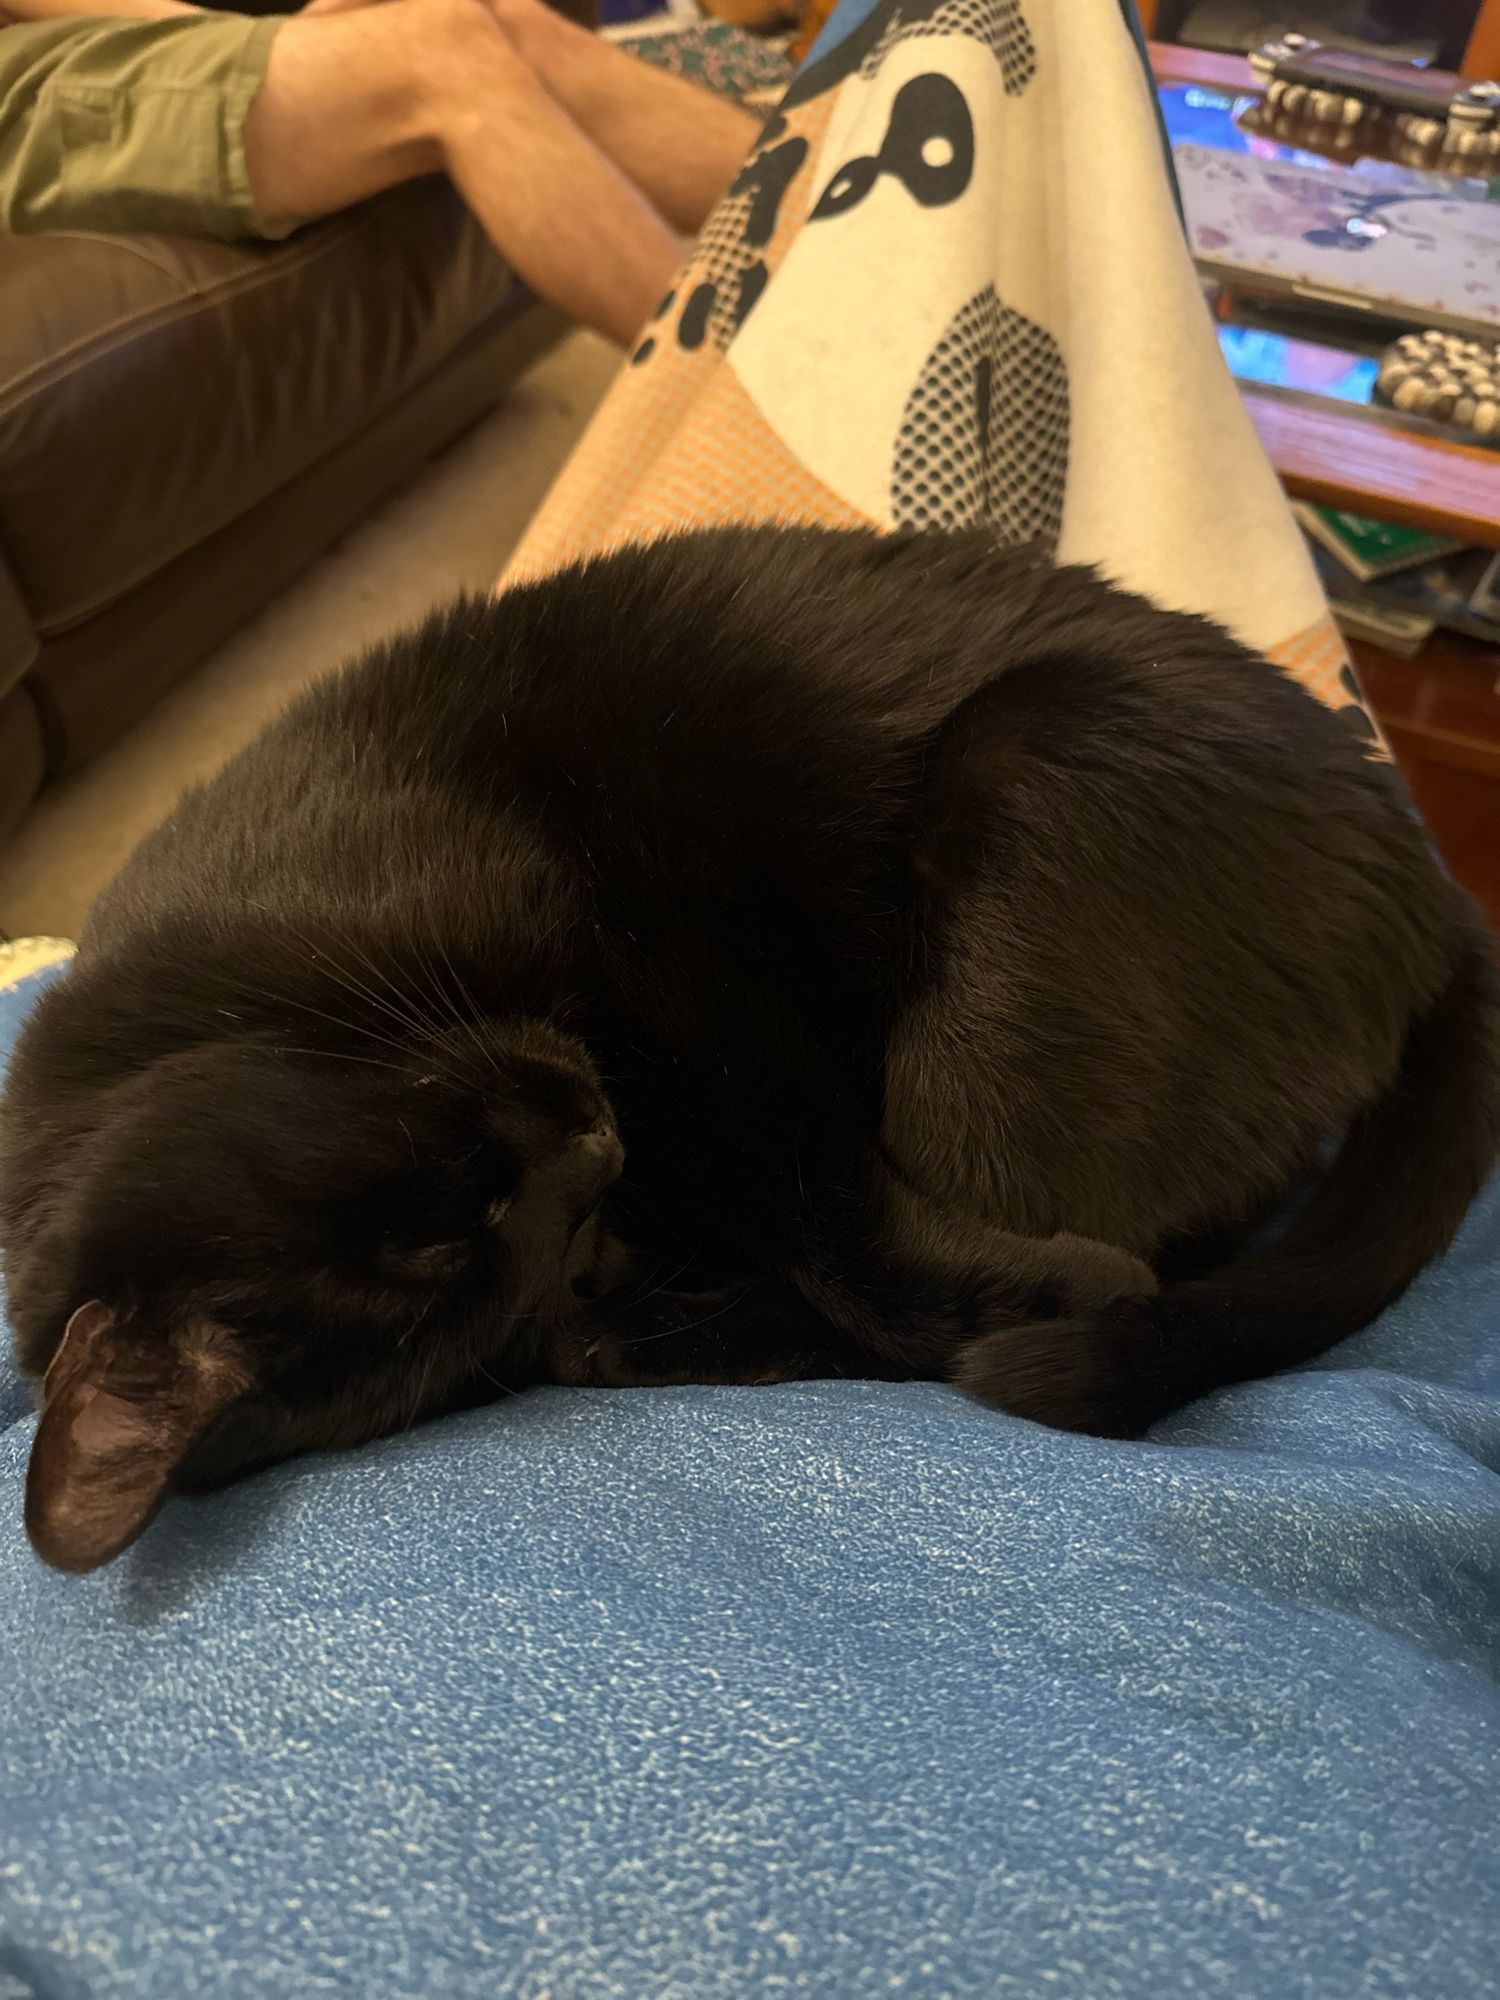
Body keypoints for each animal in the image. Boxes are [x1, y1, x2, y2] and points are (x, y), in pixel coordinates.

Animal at [2, 532, 1500, 1576]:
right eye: (487, 1282)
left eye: (453, 1212)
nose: (593, 1157)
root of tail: (1436, 887)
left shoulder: (694, 967)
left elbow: (842, 1220)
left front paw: (1035, 1292)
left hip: (1020, 796)